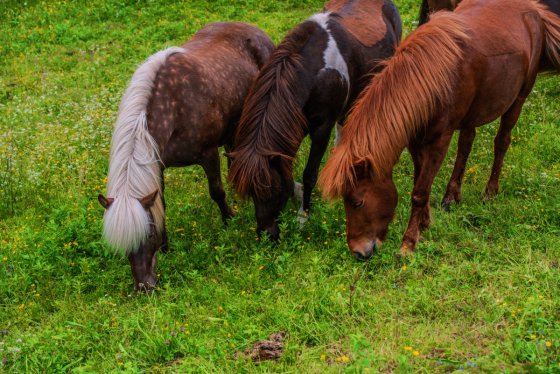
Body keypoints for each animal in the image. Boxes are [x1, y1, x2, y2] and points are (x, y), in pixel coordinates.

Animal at [98, 23, 274, 290]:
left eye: (147, 234)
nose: (144, 287)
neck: (172, 108)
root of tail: (252, 28)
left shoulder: (208, 154)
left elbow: (216, 192)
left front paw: (229, 220)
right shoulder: (157, 166)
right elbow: (161, 203)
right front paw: (166, 246)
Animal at [228, 0, 402, 240]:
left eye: (274, 190)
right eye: (251, 194)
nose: (267, 235)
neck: (311, 74)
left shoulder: (321, 129)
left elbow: (309, 174)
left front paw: (303, 216)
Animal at [320, 0, 560, 260]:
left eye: (357, 202)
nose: (358, 252)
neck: (430, 79)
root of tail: (534, 9)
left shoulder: (439, 141)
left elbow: (419, 192)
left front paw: (408, 243)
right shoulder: (415, 140)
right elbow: (420, 181)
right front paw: (425, 223)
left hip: (518, 99)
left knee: (502, 142)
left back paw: (490, 191)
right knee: (466, 143)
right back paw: (452, 195)